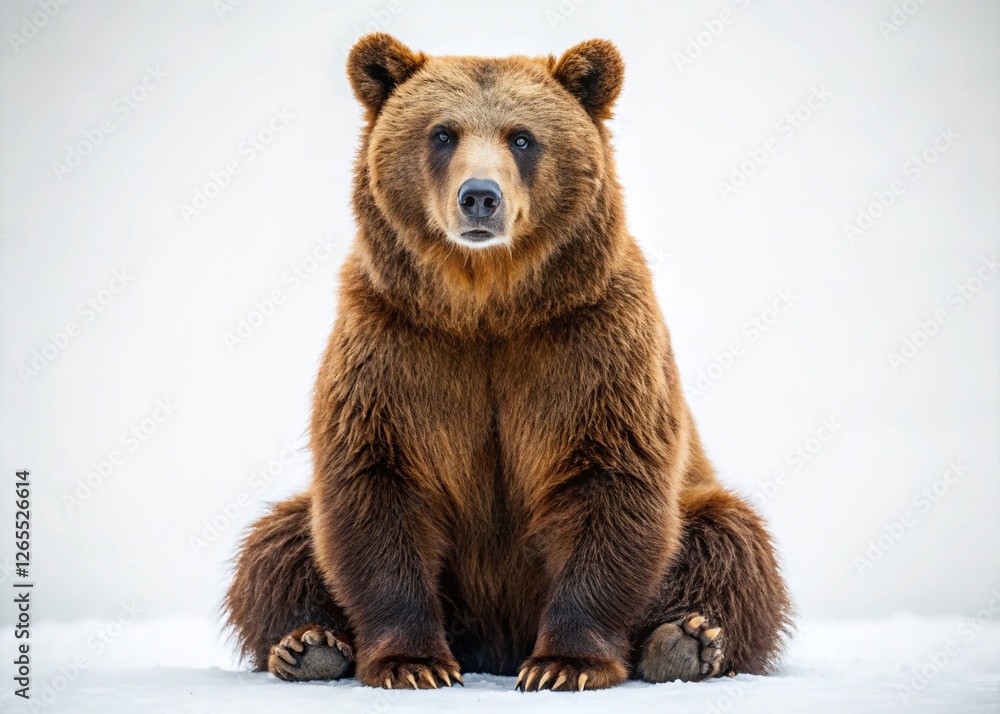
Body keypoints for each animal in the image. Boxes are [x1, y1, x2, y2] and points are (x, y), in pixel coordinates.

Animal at [225, 33, 792, 691]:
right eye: (442, 133)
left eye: (522, 138)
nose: (480, 197)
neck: (489, 307)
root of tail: (493, 645)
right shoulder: (396, 344)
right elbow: (375, 486)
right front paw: (412, 662)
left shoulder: (590, 341)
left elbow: (610, 482)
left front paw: (564, 663)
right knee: (279, 540)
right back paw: (307, 644)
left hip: (697, 500)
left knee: (730, 539)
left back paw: (687, 641)